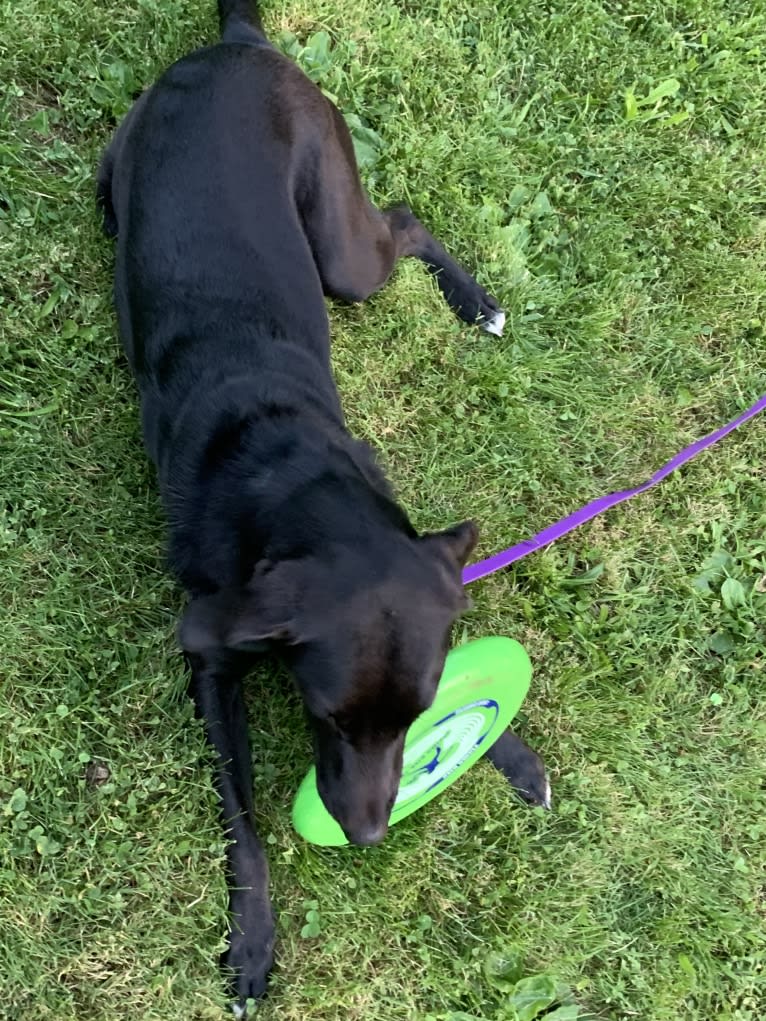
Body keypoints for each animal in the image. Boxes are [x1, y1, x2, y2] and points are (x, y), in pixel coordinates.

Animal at [97, 0, 551, 1004]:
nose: (370, 834)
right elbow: (244, 822)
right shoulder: (209, 658)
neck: (299, 480)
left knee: (405, 220)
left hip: (343, 252)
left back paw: (478, 302)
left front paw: (514, 753)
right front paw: (254, 939)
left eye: (417, 719)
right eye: (328, 717)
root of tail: (238, 46)